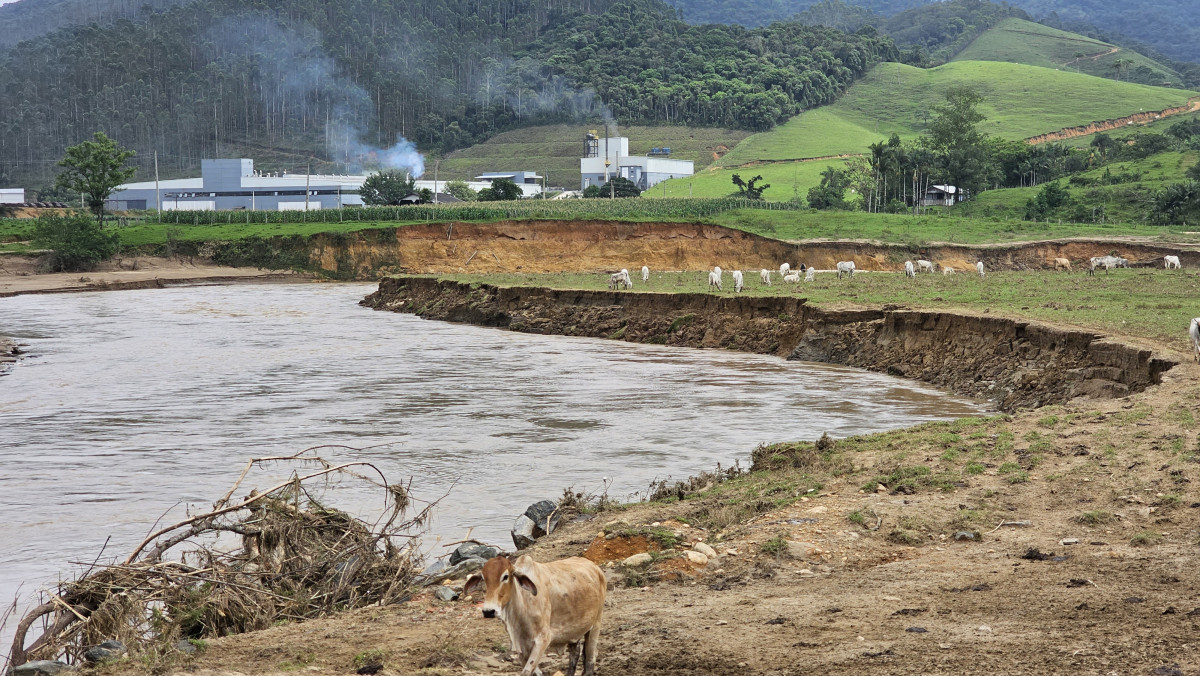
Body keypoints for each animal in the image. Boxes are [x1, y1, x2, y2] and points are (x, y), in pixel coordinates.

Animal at [463, 554, 604, 676]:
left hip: (596, 625)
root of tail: (594, 567)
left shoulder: (543, 639)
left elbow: (526, 671)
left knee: (590, 659)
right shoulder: (521, 647)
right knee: (575, 653)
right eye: (483, 578)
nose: (488, 611)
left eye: (505, 576)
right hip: (574, 632)